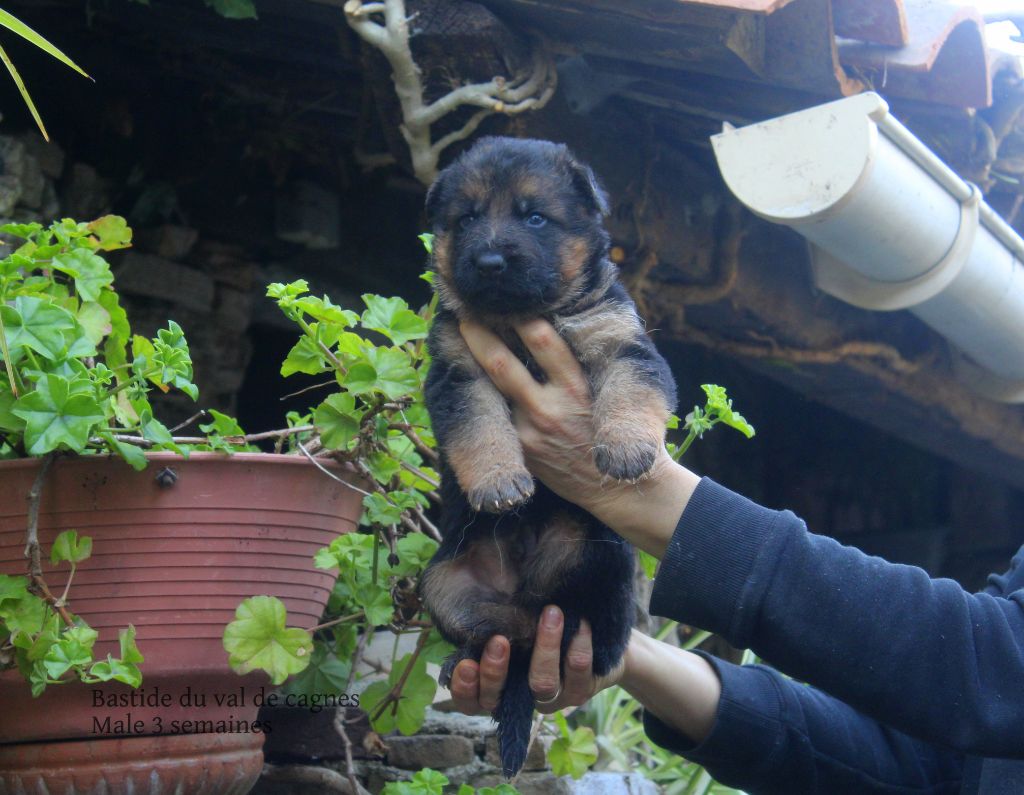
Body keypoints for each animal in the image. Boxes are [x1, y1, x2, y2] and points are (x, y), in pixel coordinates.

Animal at [419, 136, 675, 774]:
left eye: (534, 217)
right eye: (467, 219)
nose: (489, 261)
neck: (517, 320)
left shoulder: (621, 342)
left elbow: (630, 391)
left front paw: (627, 449)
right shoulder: (458, 371)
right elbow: (481, 428)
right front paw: (499, 483)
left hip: (597, 553)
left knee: (578, 630)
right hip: (444, 584)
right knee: (506, 638)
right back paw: (469, 660)